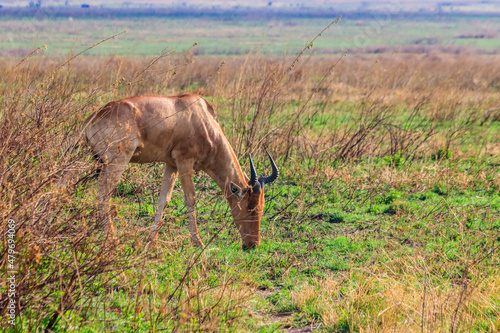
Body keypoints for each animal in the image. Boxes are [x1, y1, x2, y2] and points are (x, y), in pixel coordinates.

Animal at [85, 93, 278, 249]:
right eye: (250, 207)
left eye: (262, 206)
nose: (252, 245)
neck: (202, 116)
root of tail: (93, 119)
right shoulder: (184, 161)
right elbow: (191, 199)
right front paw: (198, 242)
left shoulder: (171, 164)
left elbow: (164, 201)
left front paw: (152, 242)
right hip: (118, 161)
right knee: (103, 195)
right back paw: (112, 239)